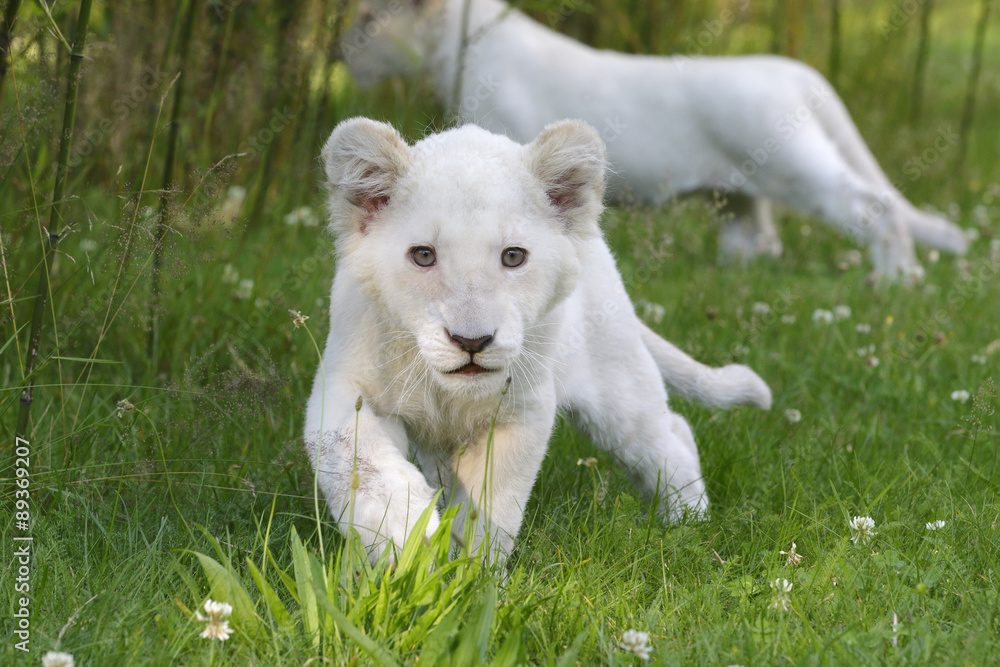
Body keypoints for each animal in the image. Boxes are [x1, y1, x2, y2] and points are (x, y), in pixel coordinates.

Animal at [304, 117, 771, 563]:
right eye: (423, 255)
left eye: (513, 256)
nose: (471, 341)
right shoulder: (343, 386)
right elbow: (357, 457)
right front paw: (404, 536)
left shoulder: (521, 412)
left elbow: (493, 507)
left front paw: (474, 574)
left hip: (618, 391)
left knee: (668, 436)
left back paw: (689, 521)